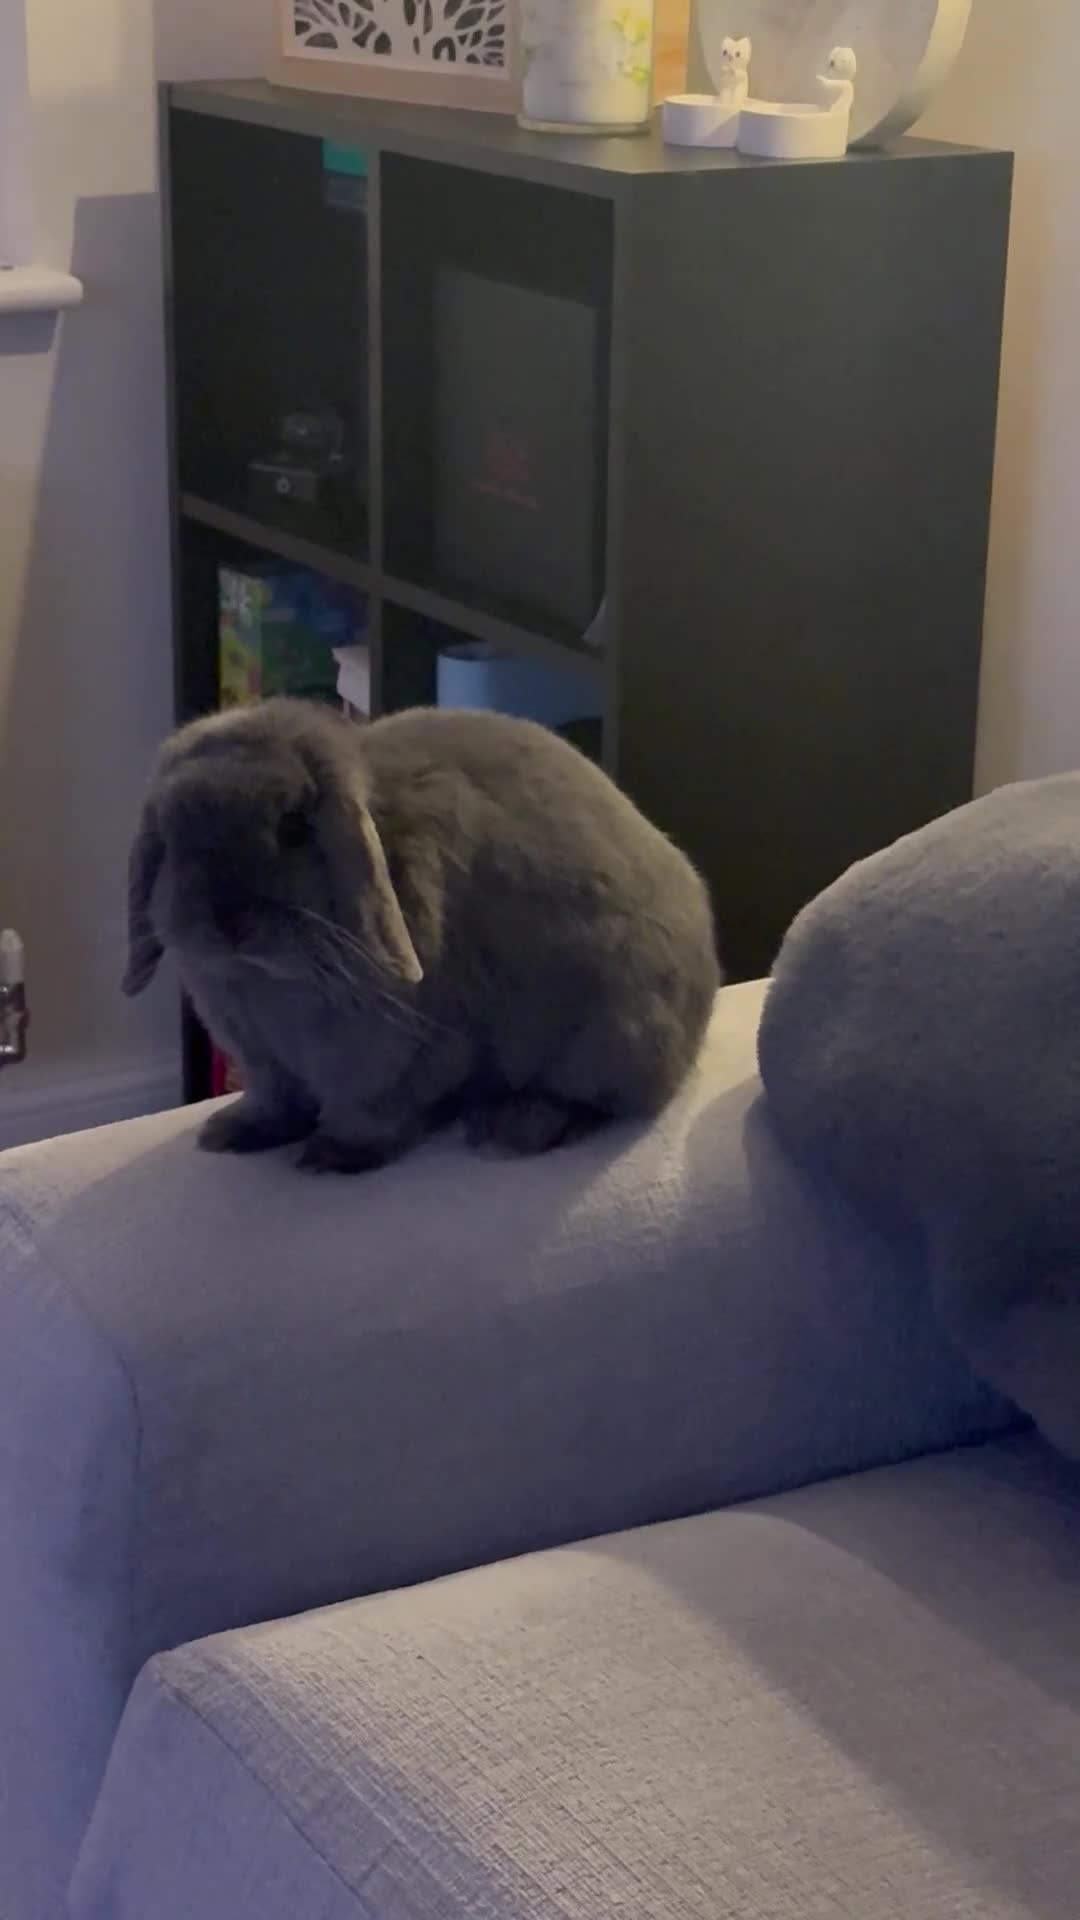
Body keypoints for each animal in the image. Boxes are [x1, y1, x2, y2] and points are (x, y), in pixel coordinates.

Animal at [123, 699, 721, 1173]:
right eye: (171, 834)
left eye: (294, 826)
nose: (226, 922)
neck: (269, 980)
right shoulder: (265, 1063)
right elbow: (276, 1103)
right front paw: (230, 1134)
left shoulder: (399, 1061)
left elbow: (372, 1115)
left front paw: (330, 1156)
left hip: (613, 1036)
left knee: (599, 1102)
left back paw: (512, 1127)